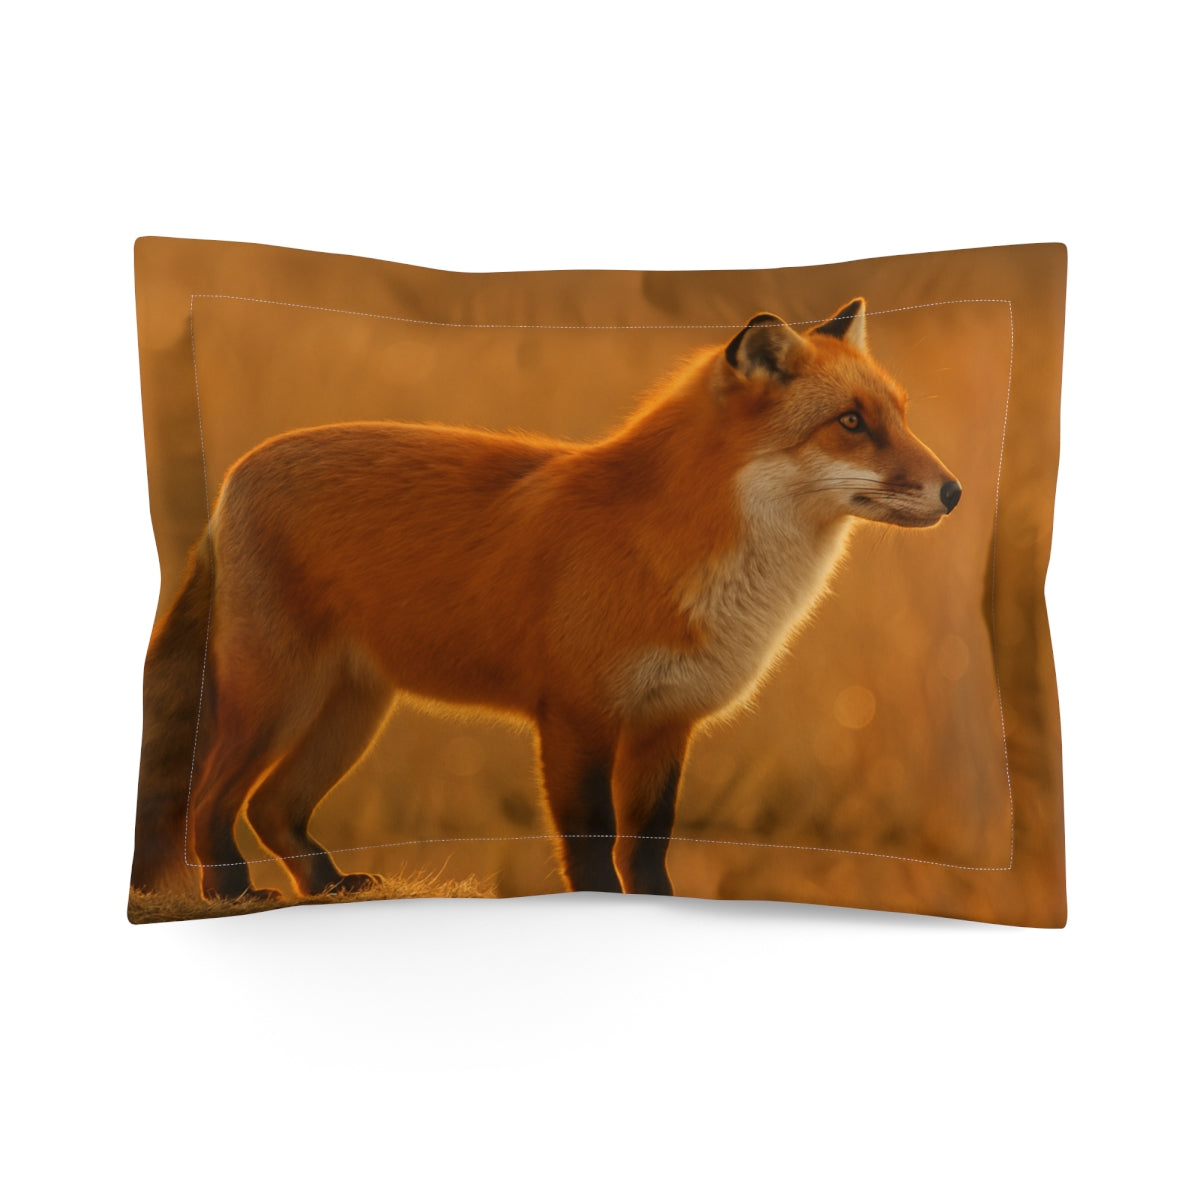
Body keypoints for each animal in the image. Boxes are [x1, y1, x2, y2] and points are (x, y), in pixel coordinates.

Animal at [131, 298, 961, 904]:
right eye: (850, 423)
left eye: (902, 415)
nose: (954, 491)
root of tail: (233, 475)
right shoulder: (575, 717)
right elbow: (590, 848)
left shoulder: (666, 724)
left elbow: (647, 849)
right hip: (275, 697)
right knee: (208, 798)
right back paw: (230, 892)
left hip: (350, 711)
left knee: (272, 808)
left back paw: (328, 883)